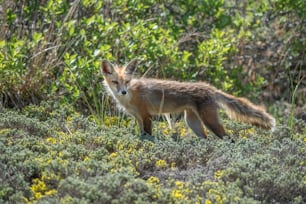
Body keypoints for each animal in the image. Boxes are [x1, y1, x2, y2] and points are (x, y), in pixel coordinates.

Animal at [101, 58, 276, 139]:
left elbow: (149, 137)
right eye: (115, 82)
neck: (131, 96)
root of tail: (210, 88)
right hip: (192, 122)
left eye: (127, 81)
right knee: (207, 139)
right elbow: (142, 135)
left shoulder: (146, 116)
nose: (123, 92)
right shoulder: (138, 118)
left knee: (229, 139)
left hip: (209, 121)